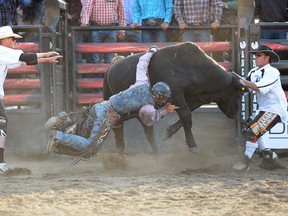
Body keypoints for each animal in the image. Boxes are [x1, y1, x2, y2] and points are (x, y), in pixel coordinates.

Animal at [103, 41, 248, 154]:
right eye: (238, 93)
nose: (236, 114)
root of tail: (110, 69)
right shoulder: (177, 94)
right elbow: (186, 116)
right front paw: (192, 145)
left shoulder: (193, 98)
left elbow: (185, 116)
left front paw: (168, 132)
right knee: (119, 128)